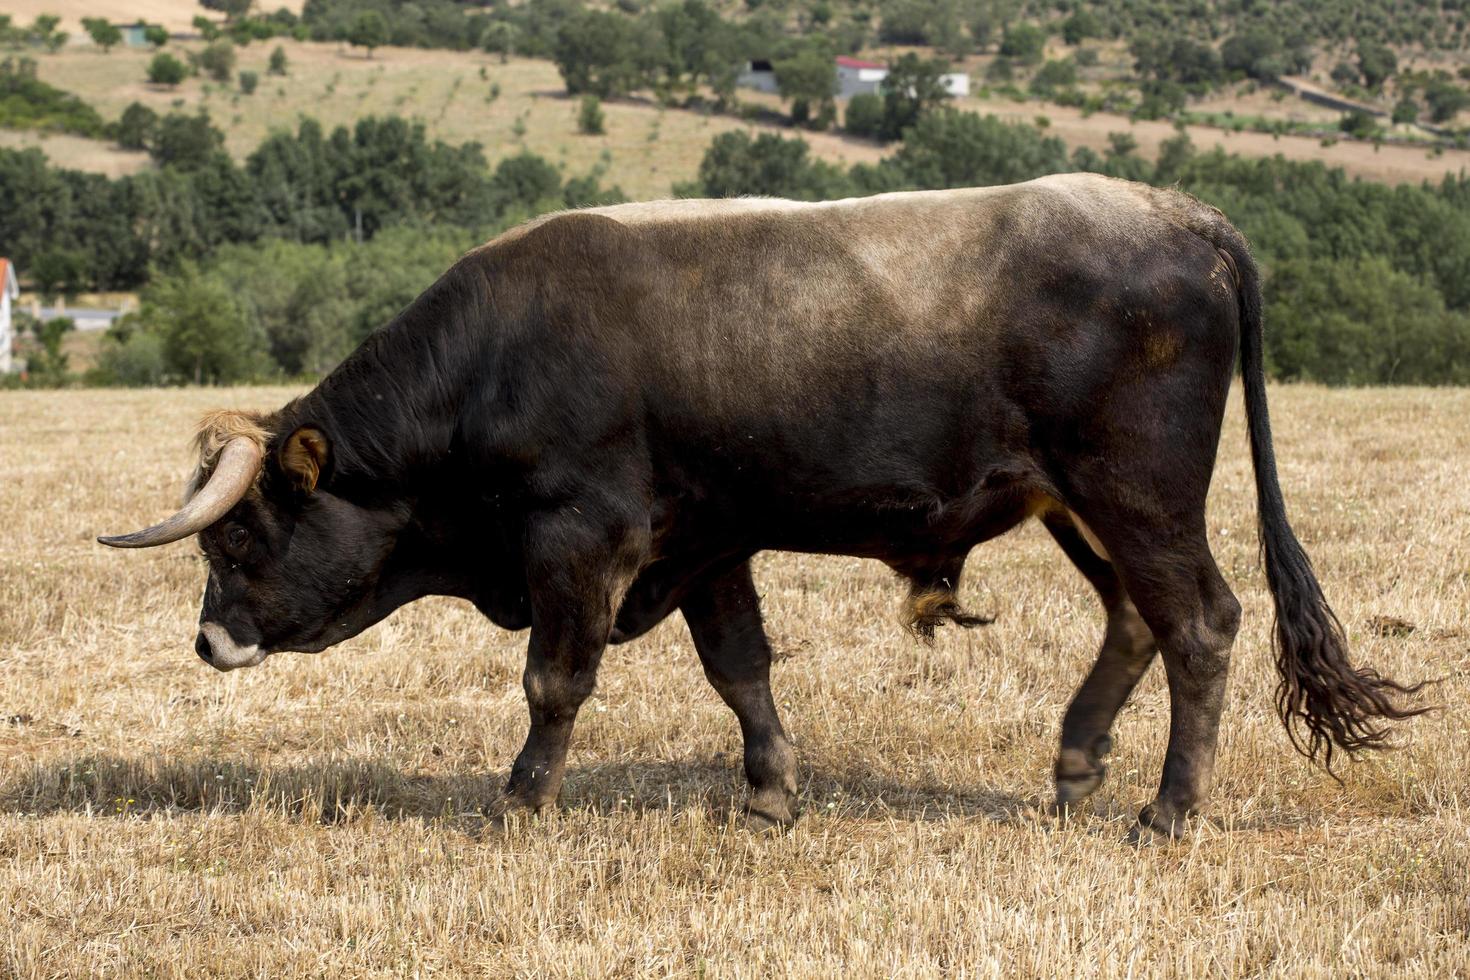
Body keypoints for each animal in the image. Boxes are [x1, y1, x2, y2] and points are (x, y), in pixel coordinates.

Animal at [94, 174, 1422, 834]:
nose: (208, 639)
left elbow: (554, 681)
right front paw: (773, 792)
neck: (501, 361)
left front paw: (519, 800)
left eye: (242, 529)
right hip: (1080, 504)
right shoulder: (706, 537)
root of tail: (1178, 214)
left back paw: (1168, 808)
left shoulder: (582, 538)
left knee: (1199, 622)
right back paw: (1078, 761)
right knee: (1138, 621)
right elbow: (742, 670)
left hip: (1140, 492)